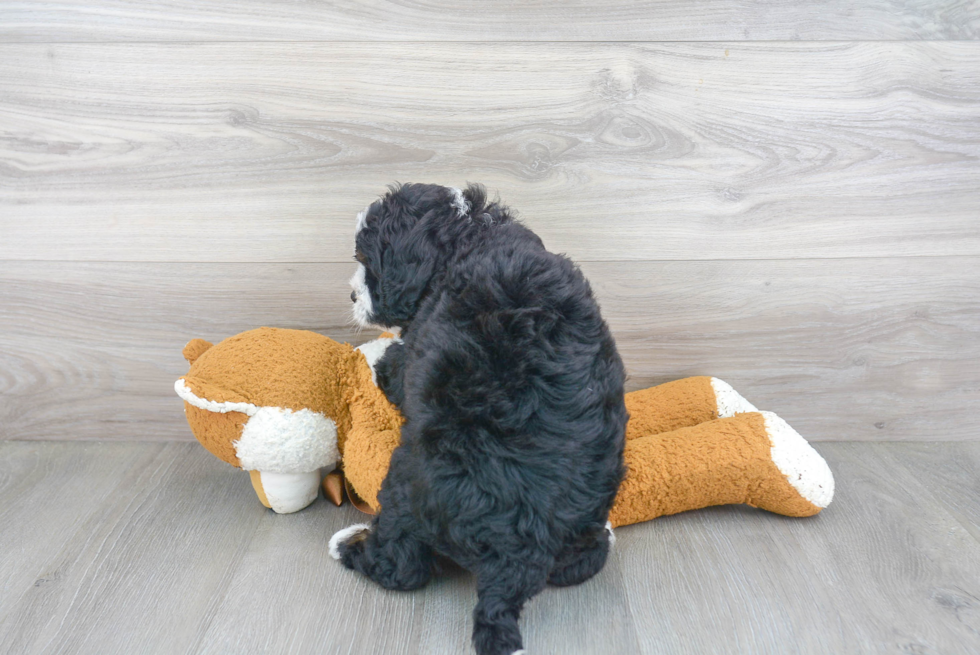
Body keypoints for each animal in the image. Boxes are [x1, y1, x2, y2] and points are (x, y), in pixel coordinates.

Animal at [332, 183, 628, 655]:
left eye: (366, 259)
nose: (352, 297)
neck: (470, 235)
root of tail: (514, 562)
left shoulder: (413, 352)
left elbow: (393, 363)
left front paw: (371, 351)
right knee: (582, 563)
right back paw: (605, 538)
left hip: (405, 486)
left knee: (401, 566)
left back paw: (348, 545)